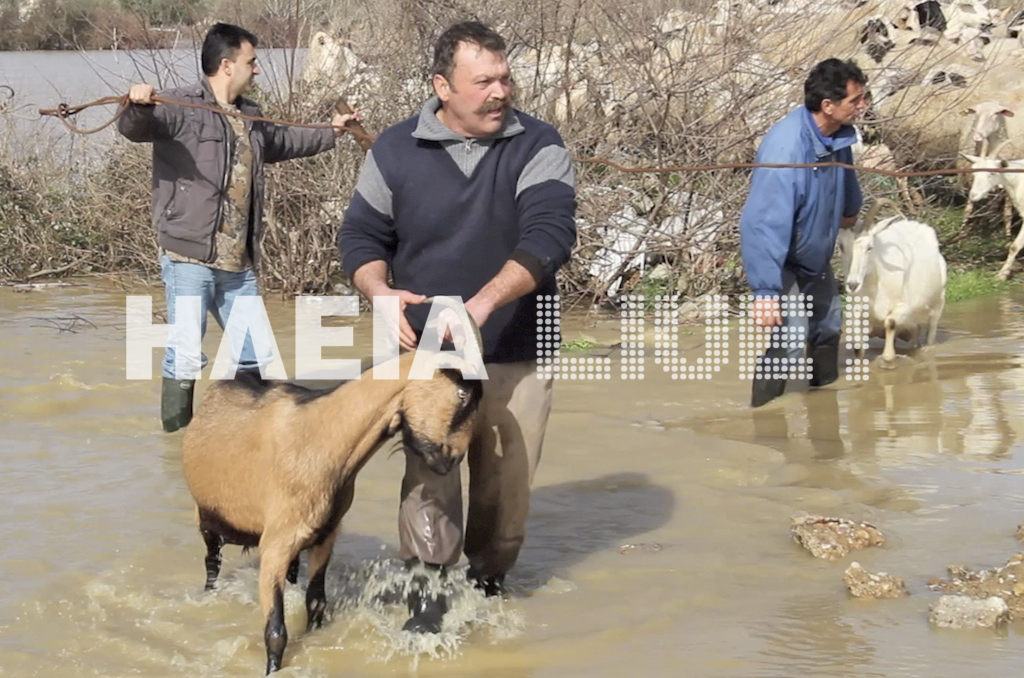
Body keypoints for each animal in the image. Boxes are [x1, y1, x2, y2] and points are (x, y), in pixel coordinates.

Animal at [181, 352, 483, 675]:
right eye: (462, 394)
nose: (453, 459)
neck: (322, 438)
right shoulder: (274, 545)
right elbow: (275, 630)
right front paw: (273, 669)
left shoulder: (326, 534)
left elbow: (316, 603)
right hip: (206, 518)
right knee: (211, 563)